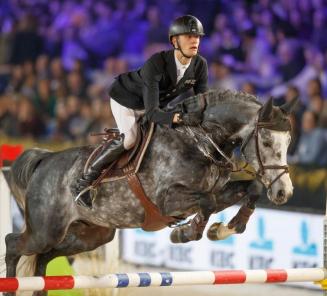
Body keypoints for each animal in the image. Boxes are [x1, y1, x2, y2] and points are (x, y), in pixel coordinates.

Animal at [3, 89, 294, 294]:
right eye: (267, 141)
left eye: (289, 141)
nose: (284, 192)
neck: (202, 143)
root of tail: (45, 160)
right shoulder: (168, 200)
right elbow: (208, 203)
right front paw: (185, 233)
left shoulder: (220, 191)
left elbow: (250, 188)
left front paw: (224, 229)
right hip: (46, 231)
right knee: (14, 243)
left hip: (91, 235)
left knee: (42, 258)